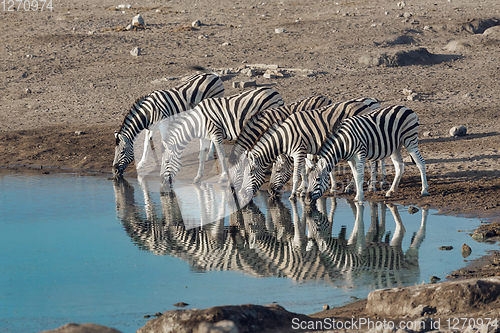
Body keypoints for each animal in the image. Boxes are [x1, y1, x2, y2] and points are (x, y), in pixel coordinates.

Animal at [241, 96, 378, 200]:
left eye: (278, 171)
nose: (270, 191)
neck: (286, 137)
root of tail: (365, 103)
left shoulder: (299, 151)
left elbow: (297, 174)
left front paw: (294, 194)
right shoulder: (304, 151)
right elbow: (305, 169)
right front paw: (304, 189)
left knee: (371, 162)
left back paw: (369, 186)